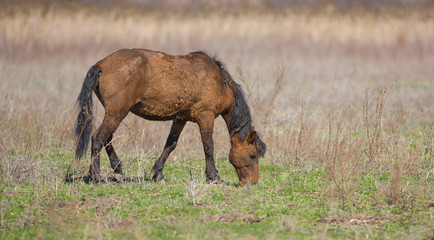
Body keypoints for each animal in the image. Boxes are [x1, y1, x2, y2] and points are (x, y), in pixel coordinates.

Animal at [73, 48, 264, 186]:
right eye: (252, 155)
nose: (252, 182)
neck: (219, 81)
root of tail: (101, 64)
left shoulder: (180, 119)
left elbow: (170, 144)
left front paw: (158, 173)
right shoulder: (206, 117)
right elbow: (209, 146)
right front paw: (213, 177)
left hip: (114, 113)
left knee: (107, 138)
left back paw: (118, 170)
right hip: (117, 113)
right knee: (98, 137)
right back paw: (97, 176)